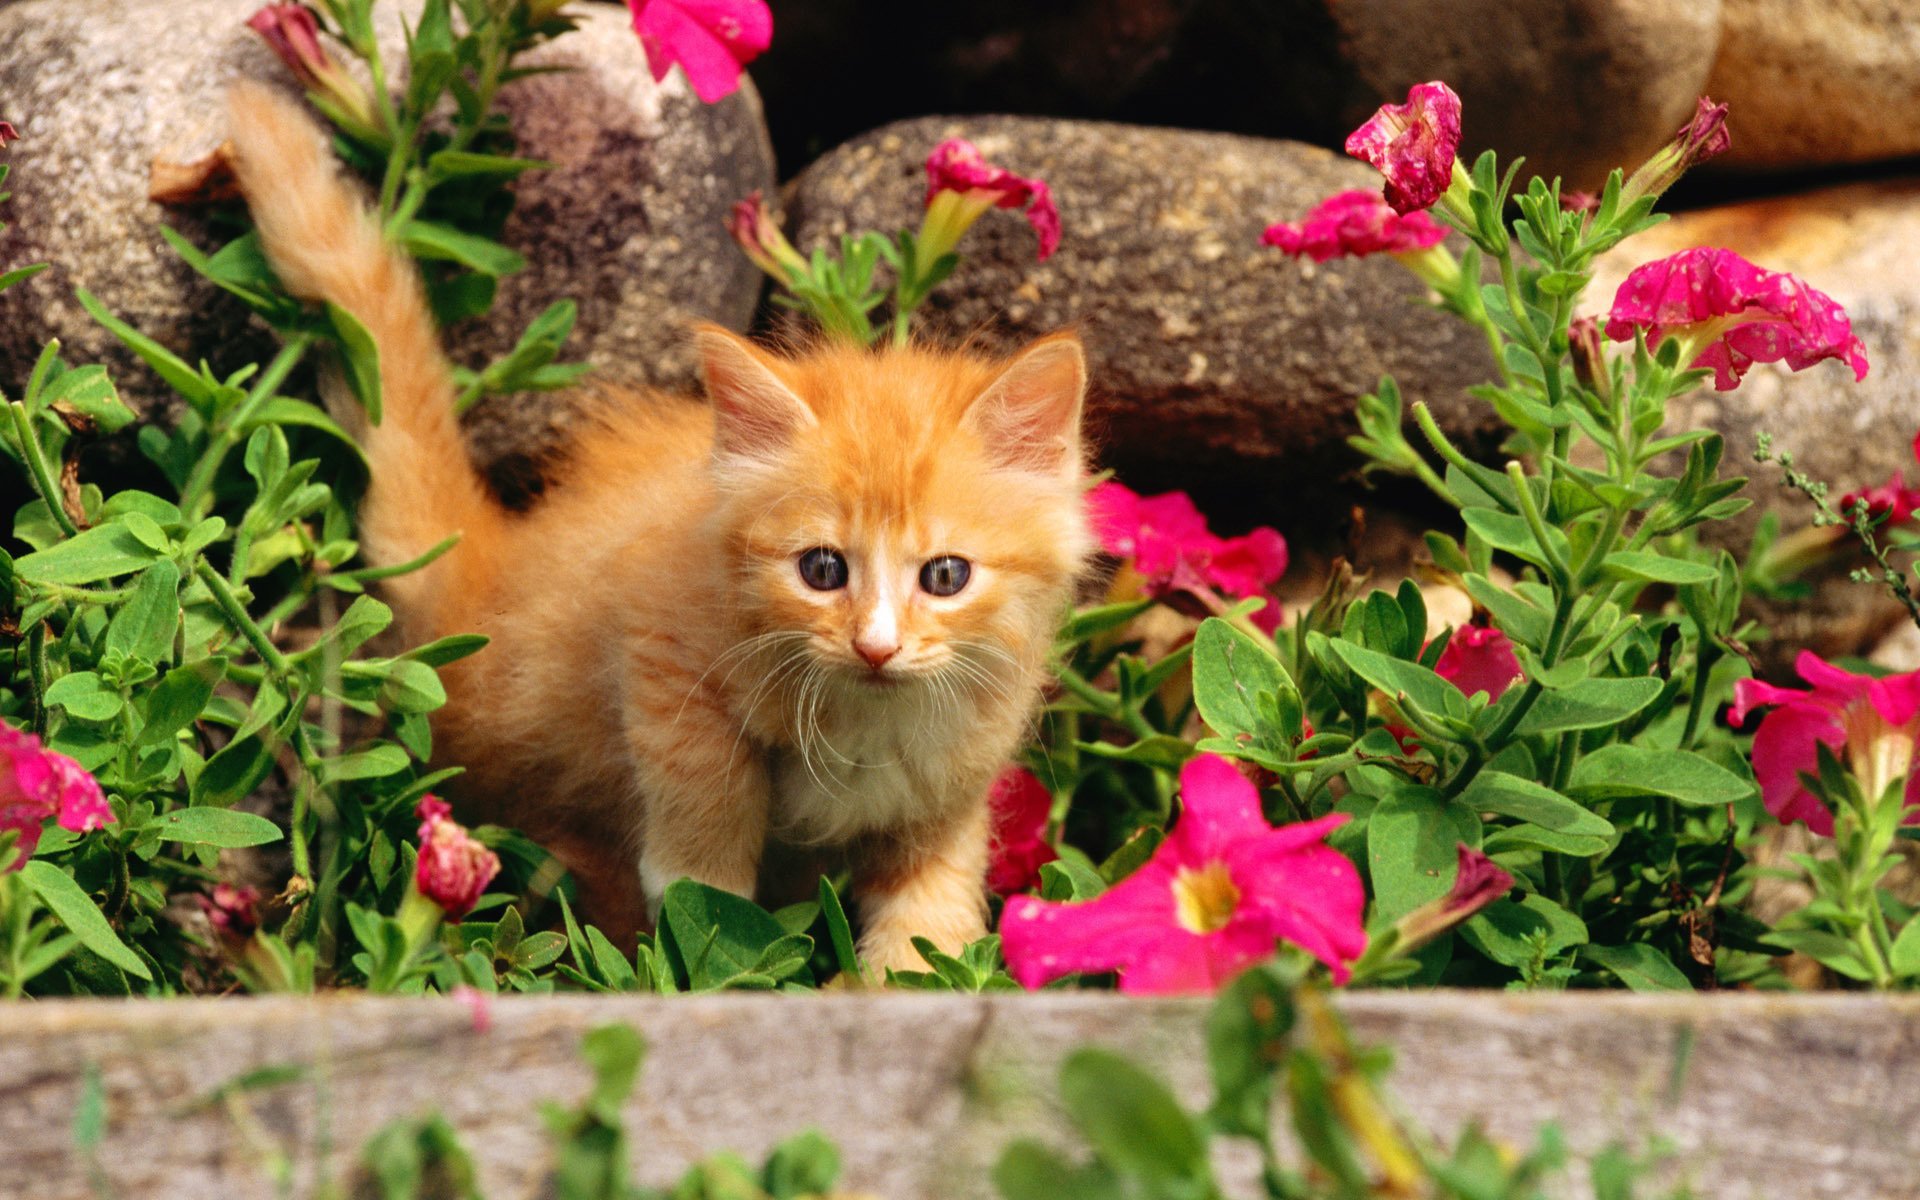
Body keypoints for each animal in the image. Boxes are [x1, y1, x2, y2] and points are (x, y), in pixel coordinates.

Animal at [220, 84, 1098, 967]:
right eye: (821, 570)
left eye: (946, 577)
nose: (875, 647)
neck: (866, 716)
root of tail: (487, 578)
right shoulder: (657, 631)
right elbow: (702, 765)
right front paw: (699, 890)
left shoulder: (956, 772)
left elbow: (931, 909)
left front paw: (908, 966)